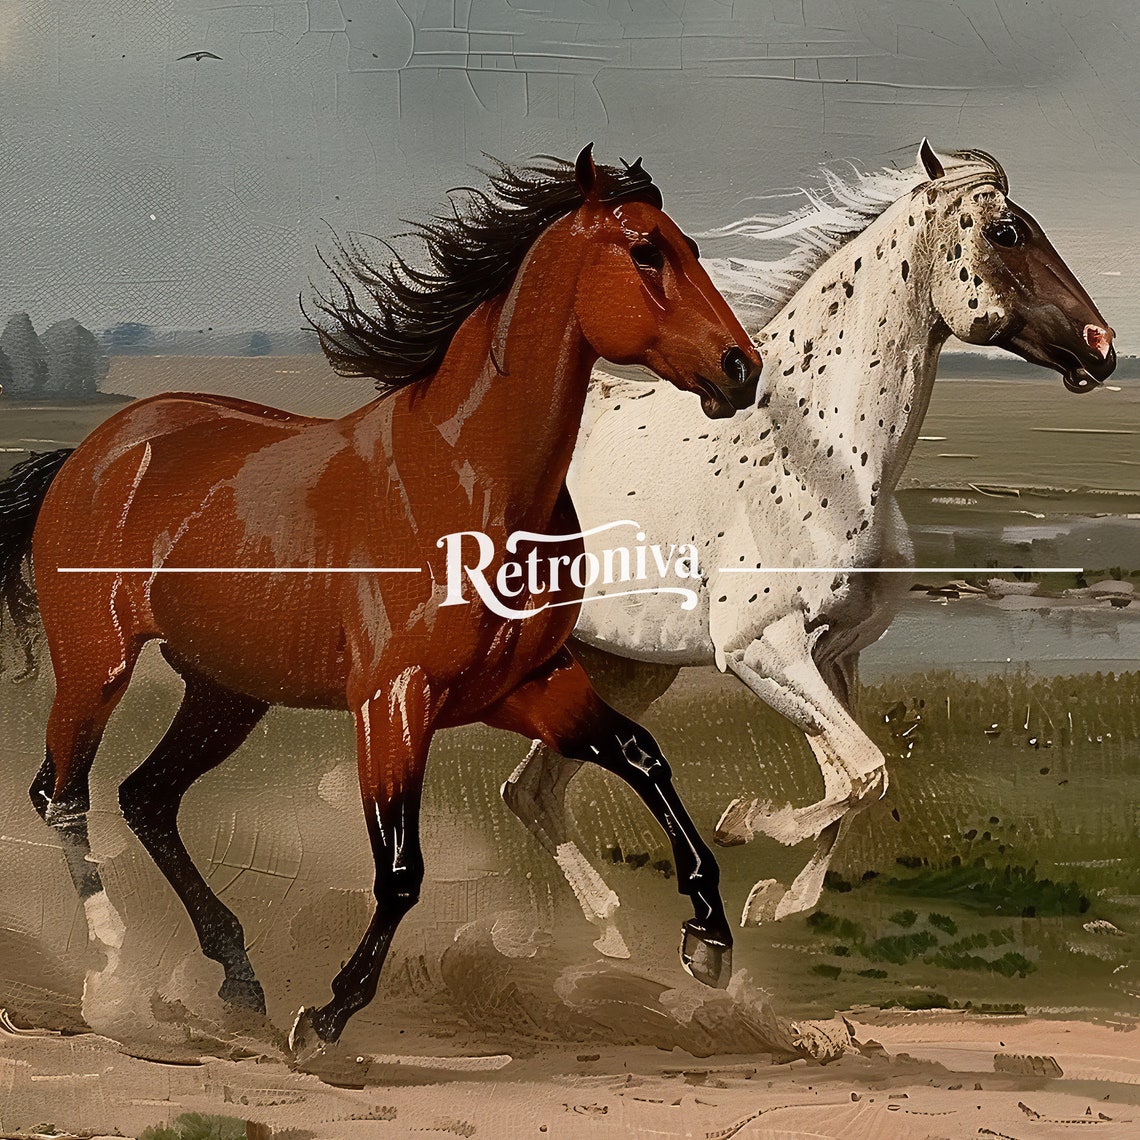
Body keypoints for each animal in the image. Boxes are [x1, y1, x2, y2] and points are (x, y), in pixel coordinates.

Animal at [0, 145, 763, 1057]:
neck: (470, 481)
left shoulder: (524, 686)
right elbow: (400, 869)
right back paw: (115, 968)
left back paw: (239, 978)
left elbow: (642, 756)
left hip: (227, 691)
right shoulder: (394, 700)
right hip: (97, 664)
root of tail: (90, 455)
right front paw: (327, 1017)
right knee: (62, 795)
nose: (741, 369)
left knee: (146, 798)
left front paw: (709, 938)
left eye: (688, 245)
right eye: (648, 251)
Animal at [500, 141, 1117, 958]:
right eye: (1007, 231)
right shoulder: (764, 649)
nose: (1104, 349)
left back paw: (611, 933)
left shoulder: (832, 656)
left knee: (531, 792)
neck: (822, 453)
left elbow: (851, 780)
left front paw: (774, 900)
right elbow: (864, 774)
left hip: (623, 669)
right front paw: (744, 827)